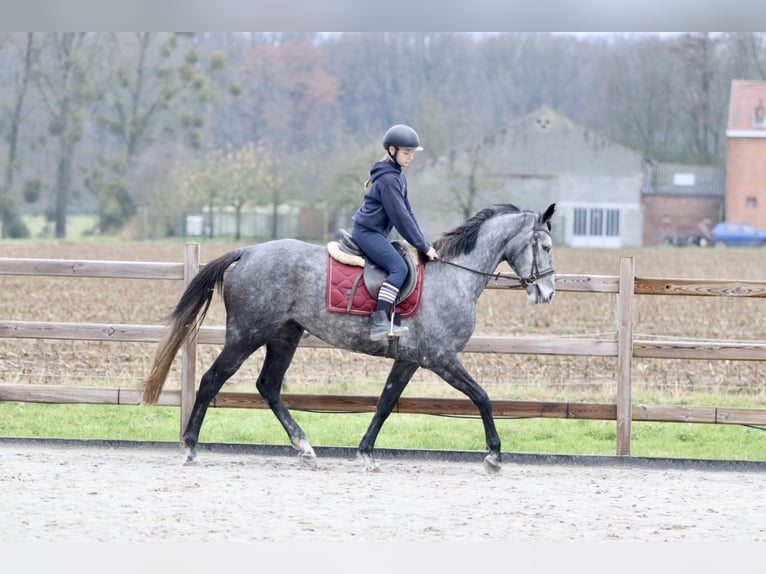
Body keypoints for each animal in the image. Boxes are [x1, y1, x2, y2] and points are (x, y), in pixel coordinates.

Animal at [141, 205, 556, 474]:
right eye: (546, 246)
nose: (547, 293)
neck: (454, 277)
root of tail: (248, 251)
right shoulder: (440, 358)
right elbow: (482, 397)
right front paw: (495, 455)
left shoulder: (409, 360)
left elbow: (385, 403)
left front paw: (366, 452)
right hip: (247, 334)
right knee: (213, 380)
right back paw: (190, 447)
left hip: (284, 335)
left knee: (269, 385)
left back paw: (304, 447)